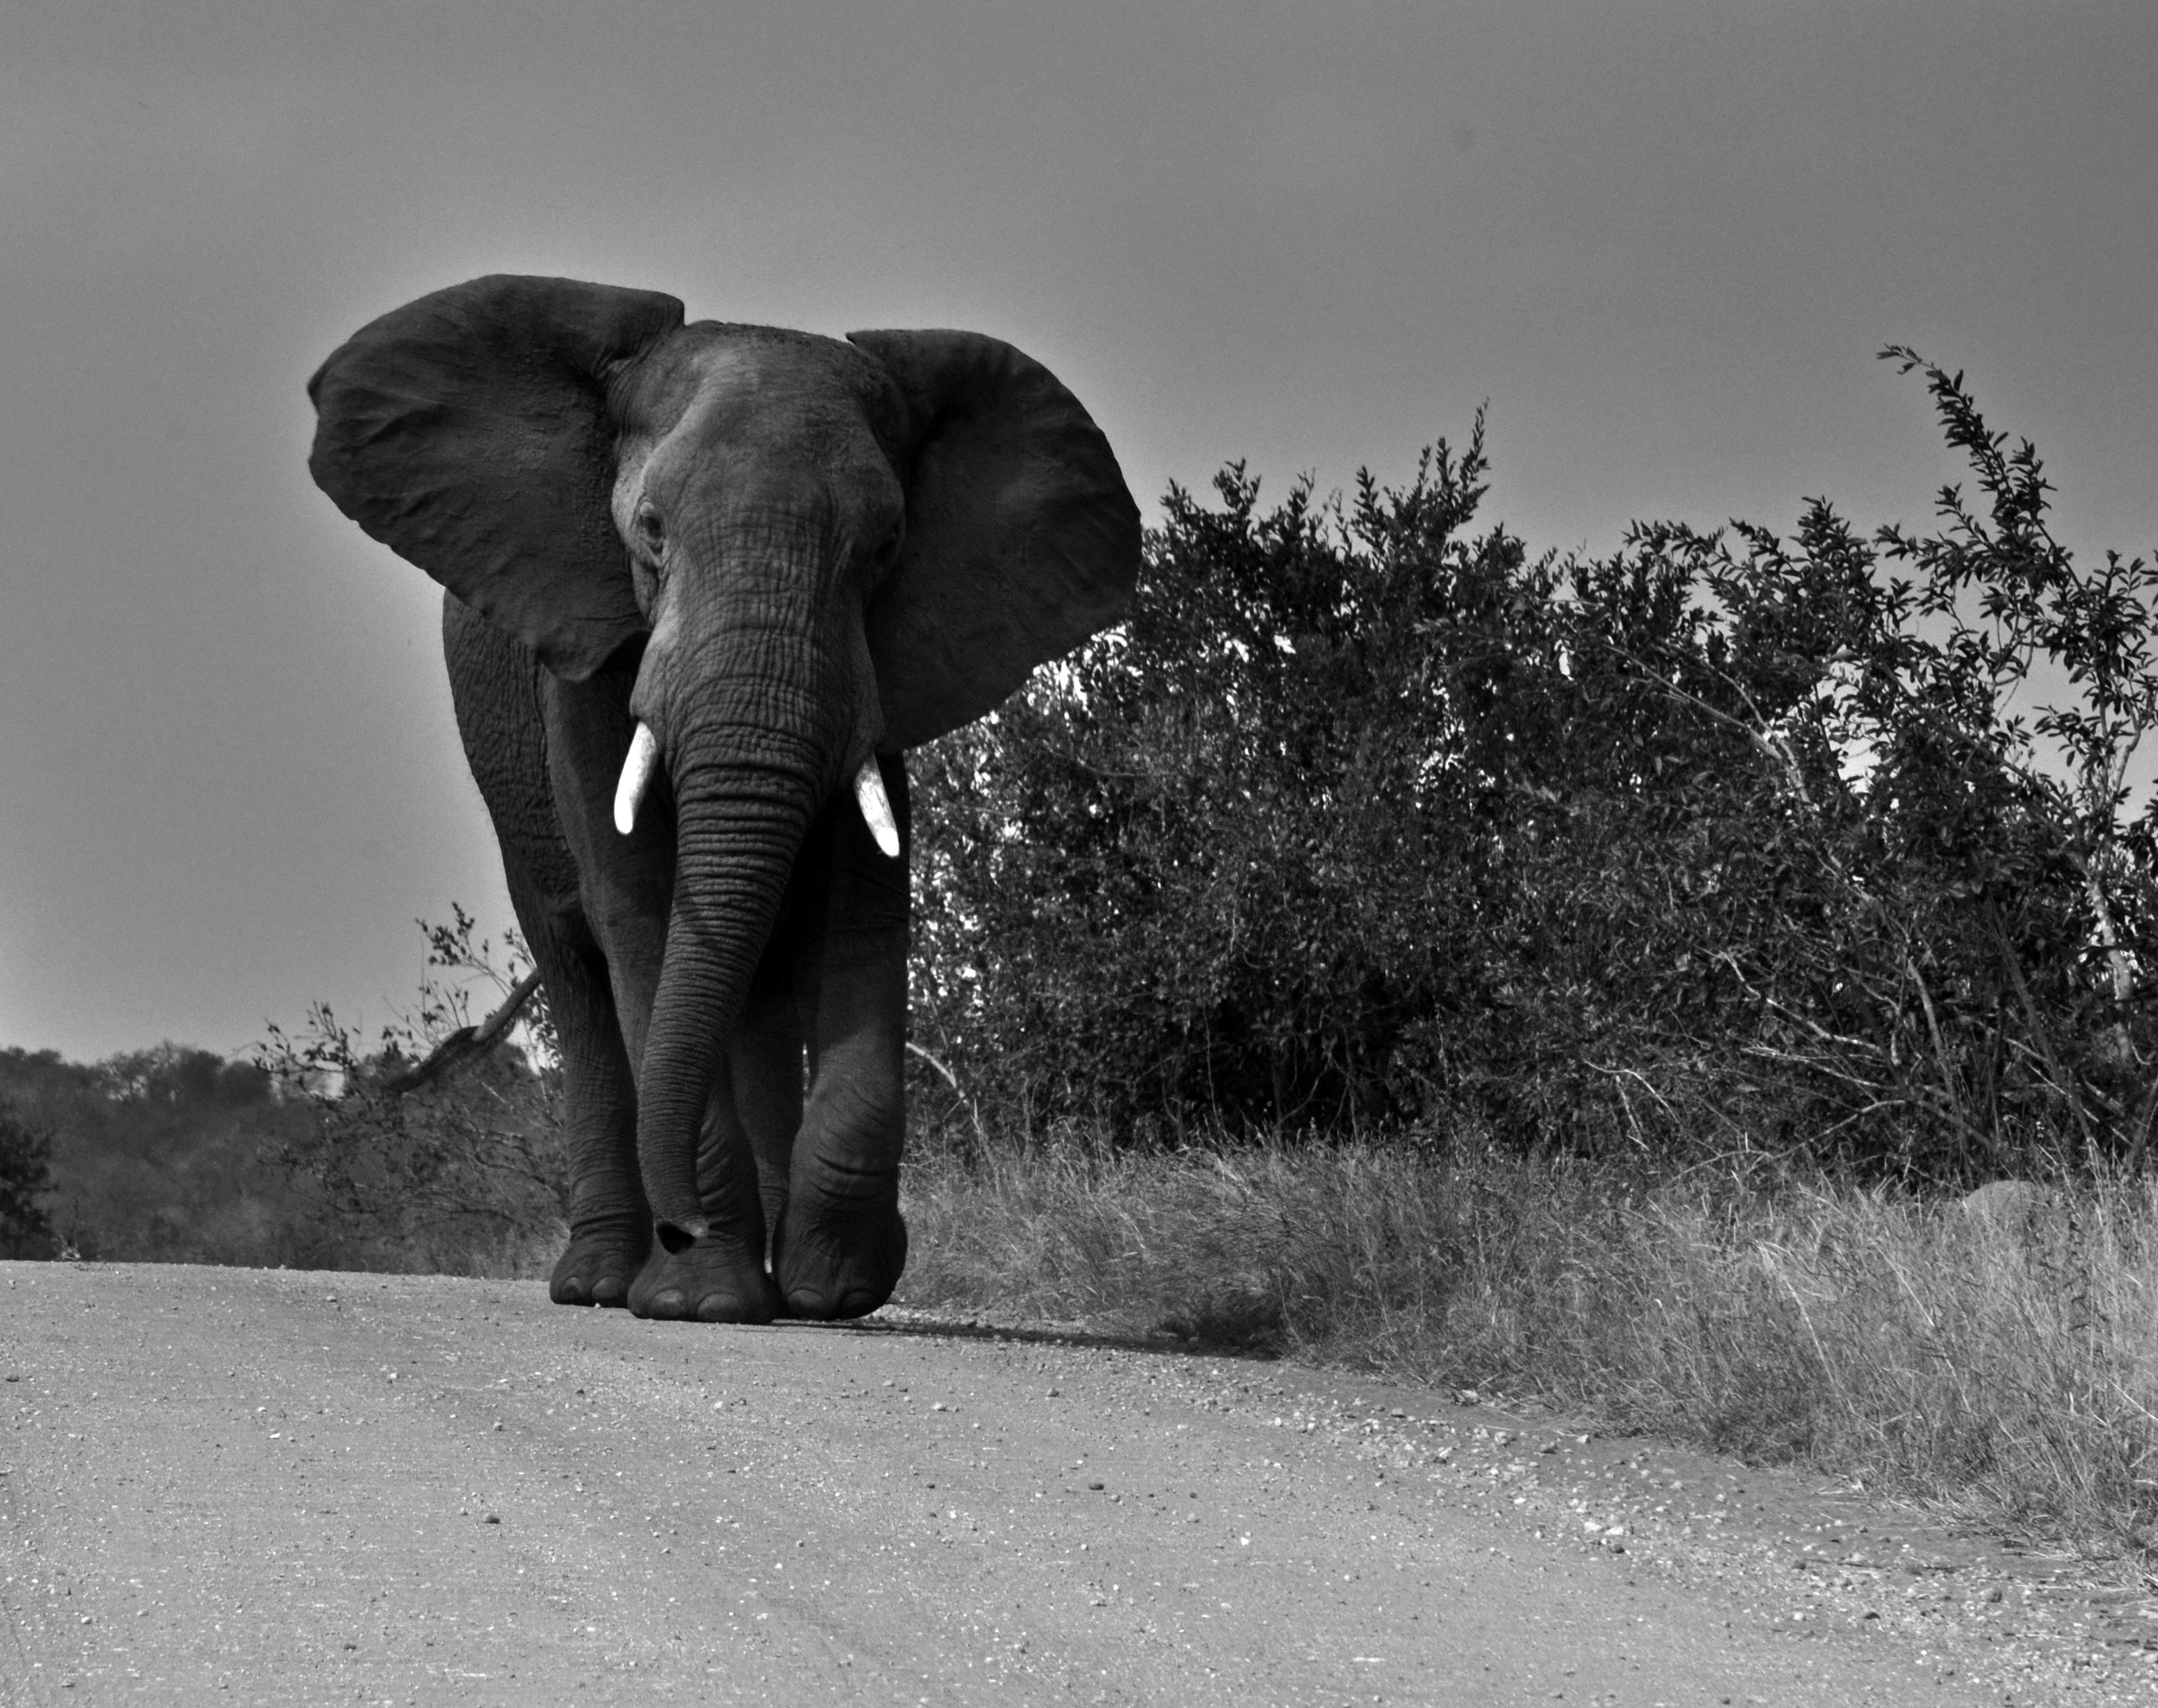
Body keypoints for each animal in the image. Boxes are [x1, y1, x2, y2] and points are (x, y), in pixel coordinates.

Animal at [313, 276, 1148, 1320]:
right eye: (650, 531)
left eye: (888, 544)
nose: (681, 1228)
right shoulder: (586, 659)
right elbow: (638, 910)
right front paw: (699, 1298)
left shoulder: (884, 672)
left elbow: (862, 914)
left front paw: (836, 1286)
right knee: (582, 973)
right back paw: (600, 1283)